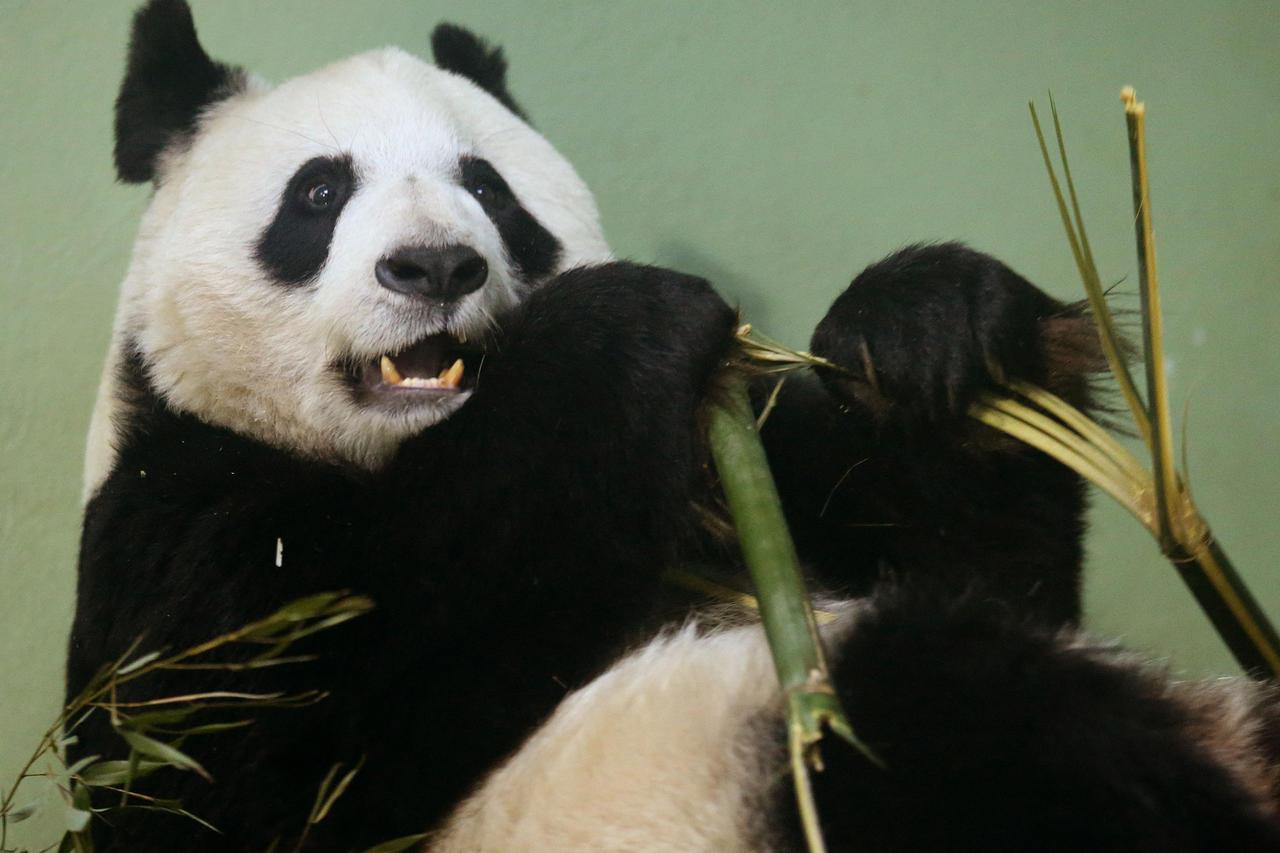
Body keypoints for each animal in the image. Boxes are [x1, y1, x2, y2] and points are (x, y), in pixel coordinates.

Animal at [67, 1, 1280, 850]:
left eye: (490, 191)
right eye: (318, 195)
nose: (437, 266)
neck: (421, 451)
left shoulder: (742, 465)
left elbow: (988, 560)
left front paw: (929, 328)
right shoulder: (182, 515)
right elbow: (257, 770)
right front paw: (622, 327)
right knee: (946, 719)